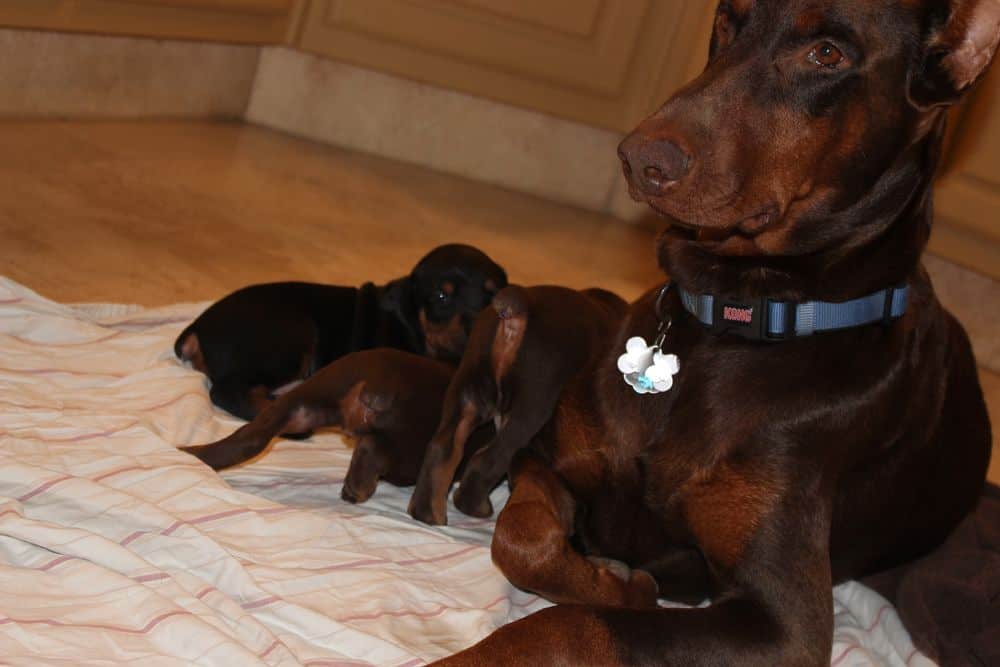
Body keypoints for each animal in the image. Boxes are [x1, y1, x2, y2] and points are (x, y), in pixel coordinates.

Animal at [174, 245, 508, 422]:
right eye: (441, 297)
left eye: (493, 296)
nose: (478, 330)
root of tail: (197, 328)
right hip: (291, 334)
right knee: (227, 391)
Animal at [184, 350, 492, 500]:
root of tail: (381, 386)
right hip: (412, 450)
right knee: (373, 447)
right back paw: (357, 487)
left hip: (306, 399)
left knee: (246, 440)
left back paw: (190, 455)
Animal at [406, 288, 624, 528]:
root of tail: (518, 310)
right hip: (530, 409)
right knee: (488, 459)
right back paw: (474, 506)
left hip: (467, 389)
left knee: (442, 448)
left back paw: (427, 512)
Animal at [434, 2, 996, 664]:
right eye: (728, 20)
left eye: (827, 54)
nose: (639, 158)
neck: (733, 321)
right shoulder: (542, 455)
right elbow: (520, 537)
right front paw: (611, 581)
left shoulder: (782, 624)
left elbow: (573, 623)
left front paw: (616, 592)